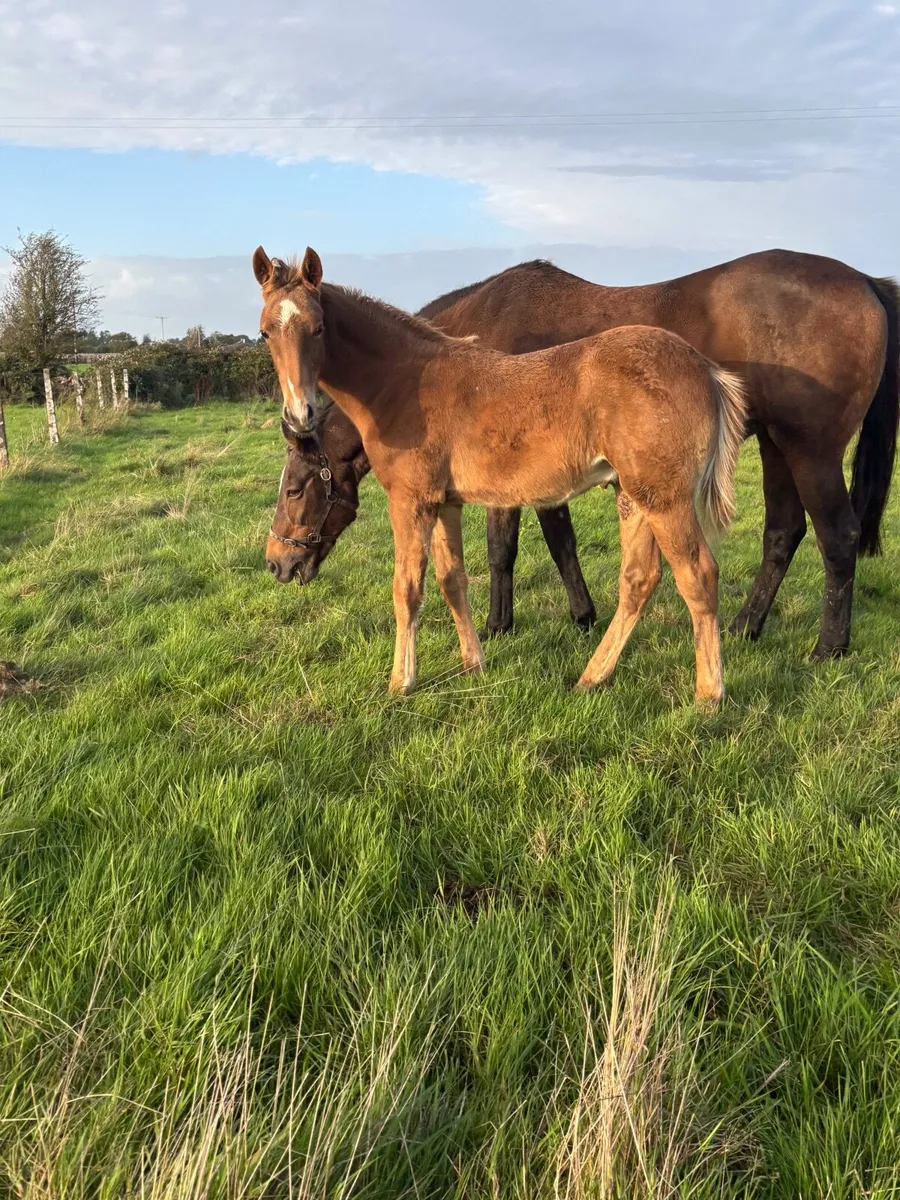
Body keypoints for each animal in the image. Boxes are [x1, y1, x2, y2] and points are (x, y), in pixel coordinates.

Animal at [256, 245, 747, 707]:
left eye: (294, 489)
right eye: (265, 332)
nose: (277, 563)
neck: (405, 383)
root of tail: (706, 370)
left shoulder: (410, 501)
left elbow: (407, 589)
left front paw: (401, 682)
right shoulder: (444, 502)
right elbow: (452, 581)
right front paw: (473, 663)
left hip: (666, 500)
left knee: (698, 576)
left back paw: (709, 694)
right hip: (634, 495)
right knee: (638, 581)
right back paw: (591, 678)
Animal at [258, 252, 898, 660]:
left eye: (293, 488)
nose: (278, 564)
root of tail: (865, 280)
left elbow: (503, 550)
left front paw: (498, 626)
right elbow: (560, 540)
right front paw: (583, 614)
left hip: (811, 451)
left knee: (836, 536)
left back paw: (829, 647)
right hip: (775, 445)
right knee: (783, 534)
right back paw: (745, 628)